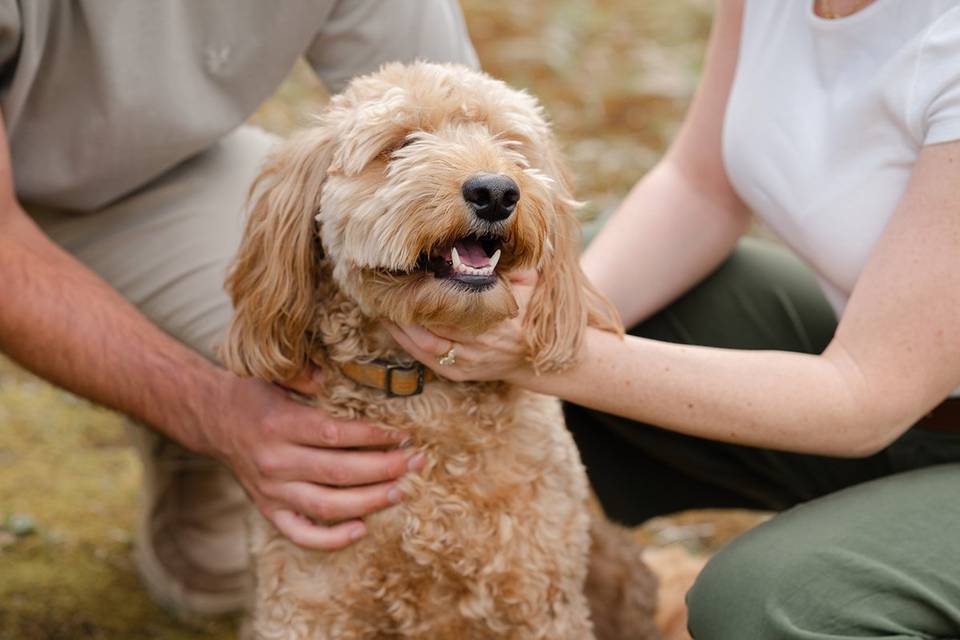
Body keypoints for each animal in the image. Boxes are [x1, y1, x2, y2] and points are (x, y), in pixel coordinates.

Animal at [225, 61, 660, 640]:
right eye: (402, 144)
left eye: (509, 144)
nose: (496, 192)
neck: (422, 397)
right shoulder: (306, 602)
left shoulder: (541, 600)